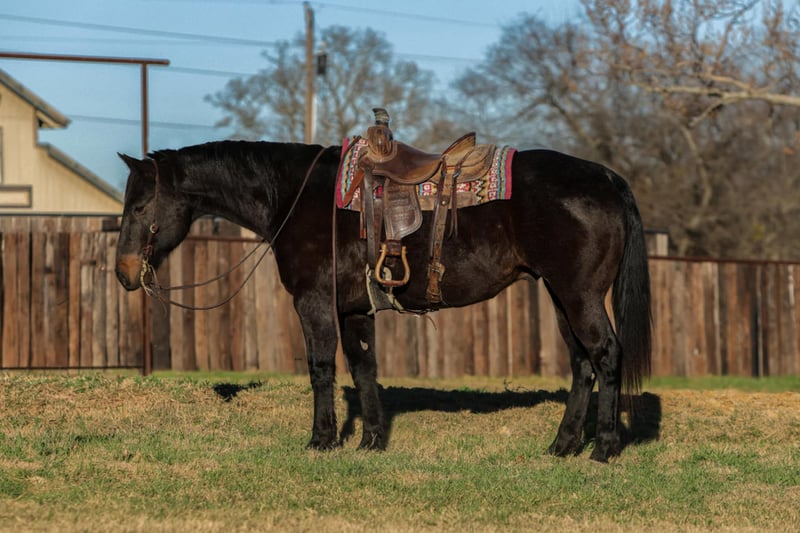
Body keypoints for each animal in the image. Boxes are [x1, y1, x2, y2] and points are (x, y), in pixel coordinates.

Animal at [114, 139, 652, 462]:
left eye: (140, 206)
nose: (123, 272)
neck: (295, 196)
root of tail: (606, 178)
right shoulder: (355, 310)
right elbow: (363, 369)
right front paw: (371, 440)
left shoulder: (314, 302)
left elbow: (321, 368)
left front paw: (322, 439)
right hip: (560, 296)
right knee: (581, 364)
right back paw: (563, 445)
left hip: (579, 295)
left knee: (606, 356)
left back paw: (603, 448)